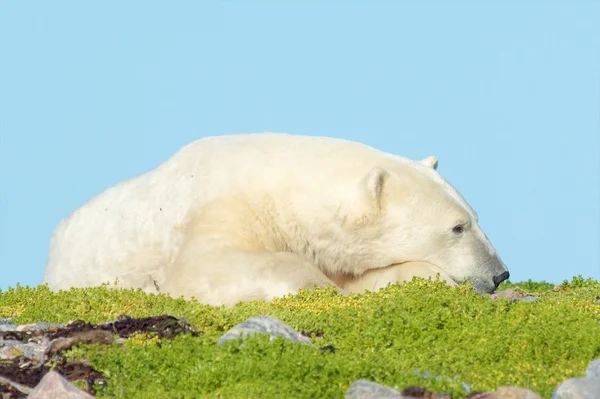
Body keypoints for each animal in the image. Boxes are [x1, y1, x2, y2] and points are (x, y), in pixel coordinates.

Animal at [43, 133, 510, 308]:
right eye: (457, 228)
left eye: (475, 218)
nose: (500, 274)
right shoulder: (220, 209)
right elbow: (206, 268)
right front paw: (316, 288)